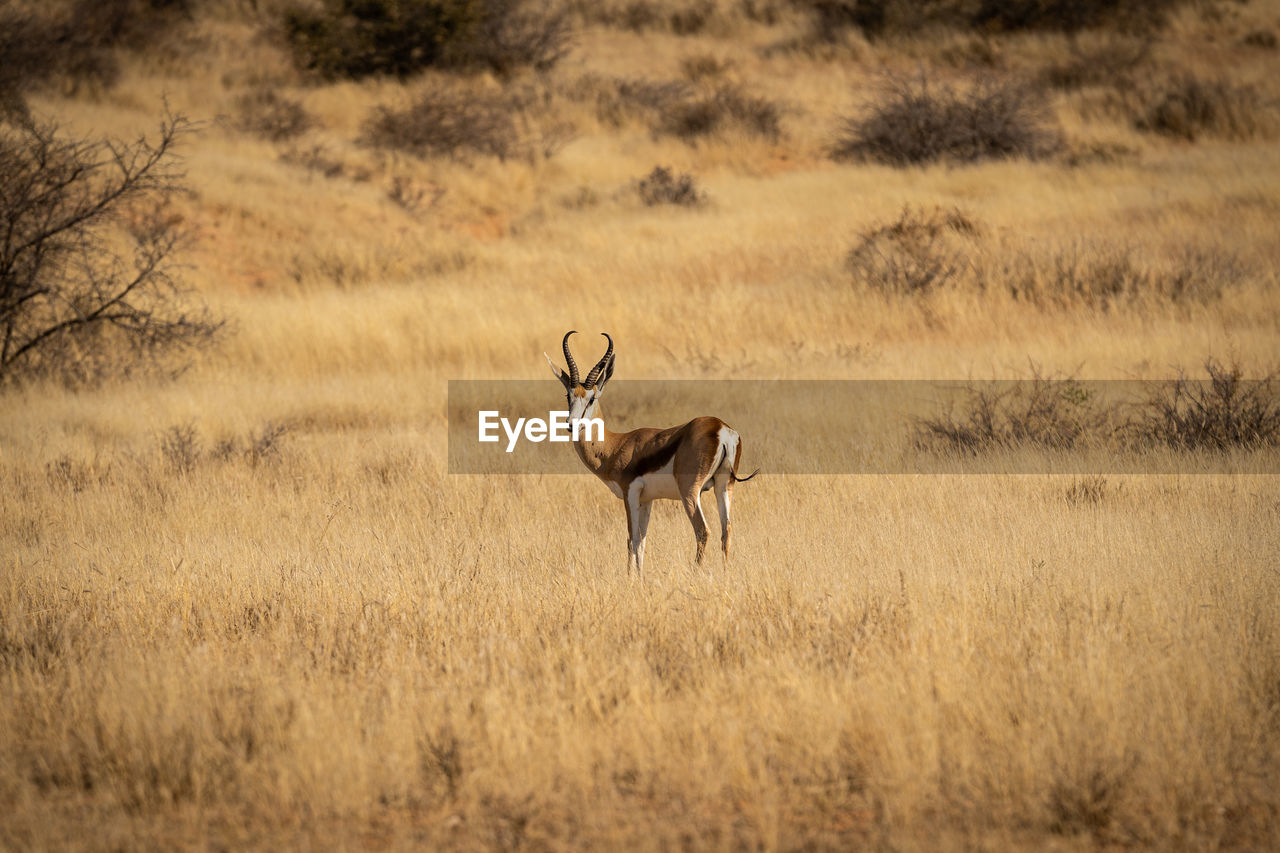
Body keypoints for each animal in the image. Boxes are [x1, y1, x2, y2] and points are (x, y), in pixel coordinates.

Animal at [545, 327, 752, 573]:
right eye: (568, 395)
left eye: (592, 398)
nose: (571, 424)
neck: (614, 446)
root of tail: (721, 428)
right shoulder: (648, 499)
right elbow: (642, 541)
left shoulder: (630, 493)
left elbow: (631, 539)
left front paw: (629, 578)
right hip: (724, 486)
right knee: (726, 531)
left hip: (690, 491)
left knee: (703, 531)